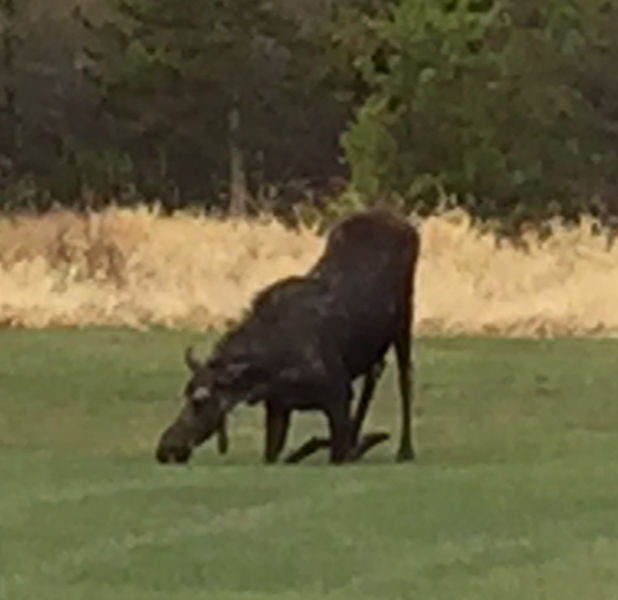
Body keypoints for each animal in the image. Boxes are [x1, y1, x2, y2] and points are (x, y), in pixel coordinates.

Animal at [156, 210, 422, 464]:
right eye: (186, 392)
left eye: (200, 400)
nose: (166, 448)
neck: (269, 369)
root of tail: (407, 226)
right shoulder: (278, 405)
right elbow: (274, 455)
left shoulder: (338, 393)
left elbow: (337, 452)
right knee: (375, 373)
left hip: (404, 317)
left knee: (405, 377)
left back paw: (405, 450)